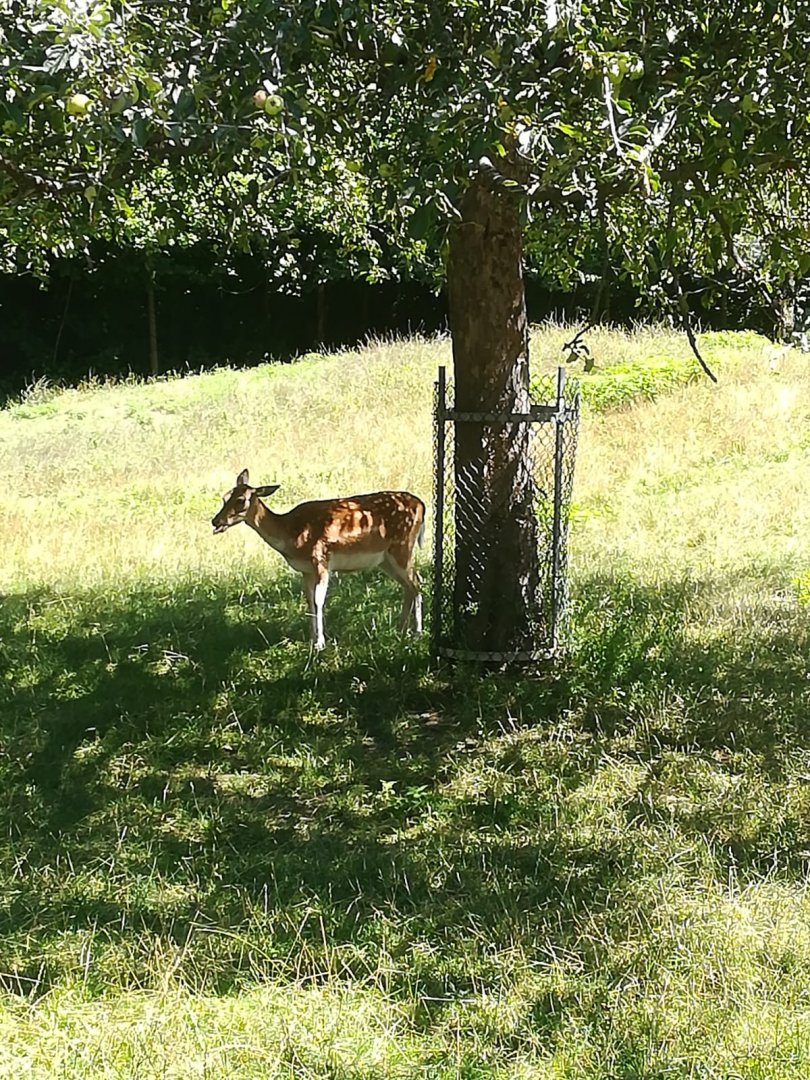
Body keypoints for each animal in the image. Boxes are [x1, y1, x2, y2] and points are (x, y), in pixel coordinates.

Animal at [211, 469, 426, 650]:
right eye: (224, 497)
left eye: (241, 500)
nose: (216, 521)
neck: (291, 534)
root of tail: (422, 506)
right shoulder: (305, 569)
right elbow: (309, 601)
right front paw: (312, 639)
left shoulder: (321, 559)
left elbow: (318, 600)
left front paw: (320, 643)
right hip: (385, 560)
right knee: (409, 586)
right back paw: (402, 629)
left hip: (402, 547)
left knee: (417, 582)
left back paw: (417, 632)